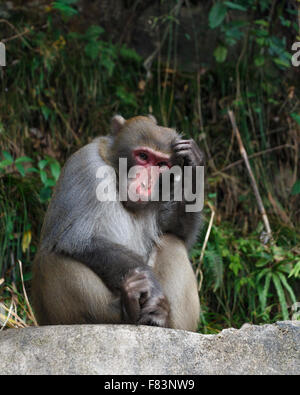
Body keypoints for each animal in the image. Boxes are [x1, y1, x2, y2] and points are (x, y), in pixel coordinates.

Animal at [32, 114, 204, 332]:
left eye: (161, 164)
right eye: (143, 156)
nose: (145, 184)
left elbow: (178, 231)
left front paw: (194, 164)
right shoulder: (87, 166)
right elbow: (77, 240)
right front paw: (152, 286)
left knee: (172, 242)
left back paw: (161, 320)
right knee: (52, 258)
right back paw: (127, 309)